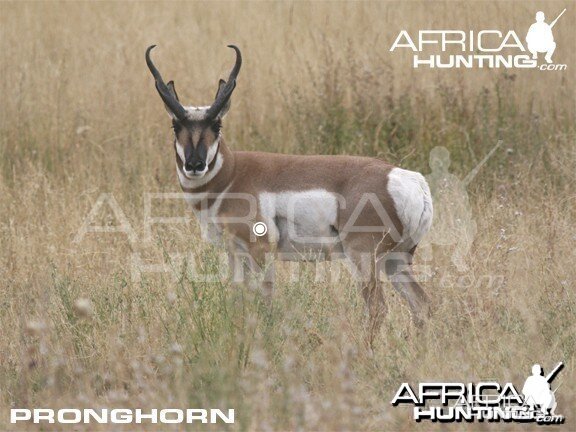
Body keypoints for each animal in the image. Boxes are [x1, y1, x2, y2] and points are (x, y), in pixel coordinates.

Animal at [146, 44, 434, 332]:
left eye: (217, 124)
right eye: (176, 125)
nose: (195, 164)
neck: (232, 175)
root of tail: (410, 179)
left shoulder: (261, 251)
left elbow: (265, 299)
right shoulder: (235, 252)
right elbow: (239, 299)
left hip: (364, 258)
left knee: (378, 308)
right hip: (397, 260)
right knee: (421, 305)